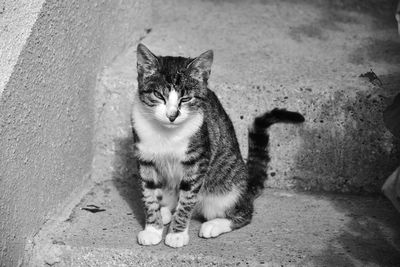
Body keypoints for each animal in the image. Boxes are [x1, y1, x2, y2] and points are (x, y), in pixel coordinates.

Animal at [131, 43, 304, 249]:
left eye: (186, 99)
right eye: (158, 95)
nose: (172, 115)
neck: (167, 134)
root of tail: (247, 186)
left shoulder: (198, 160)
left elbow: (187, 199)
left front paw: (177, 234)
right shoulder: (145, 158)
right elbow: (149, 194)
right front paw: (153, 229)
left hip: (226, 188)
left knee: (245, 212)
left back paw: (213, 224)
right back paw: (165, 211)